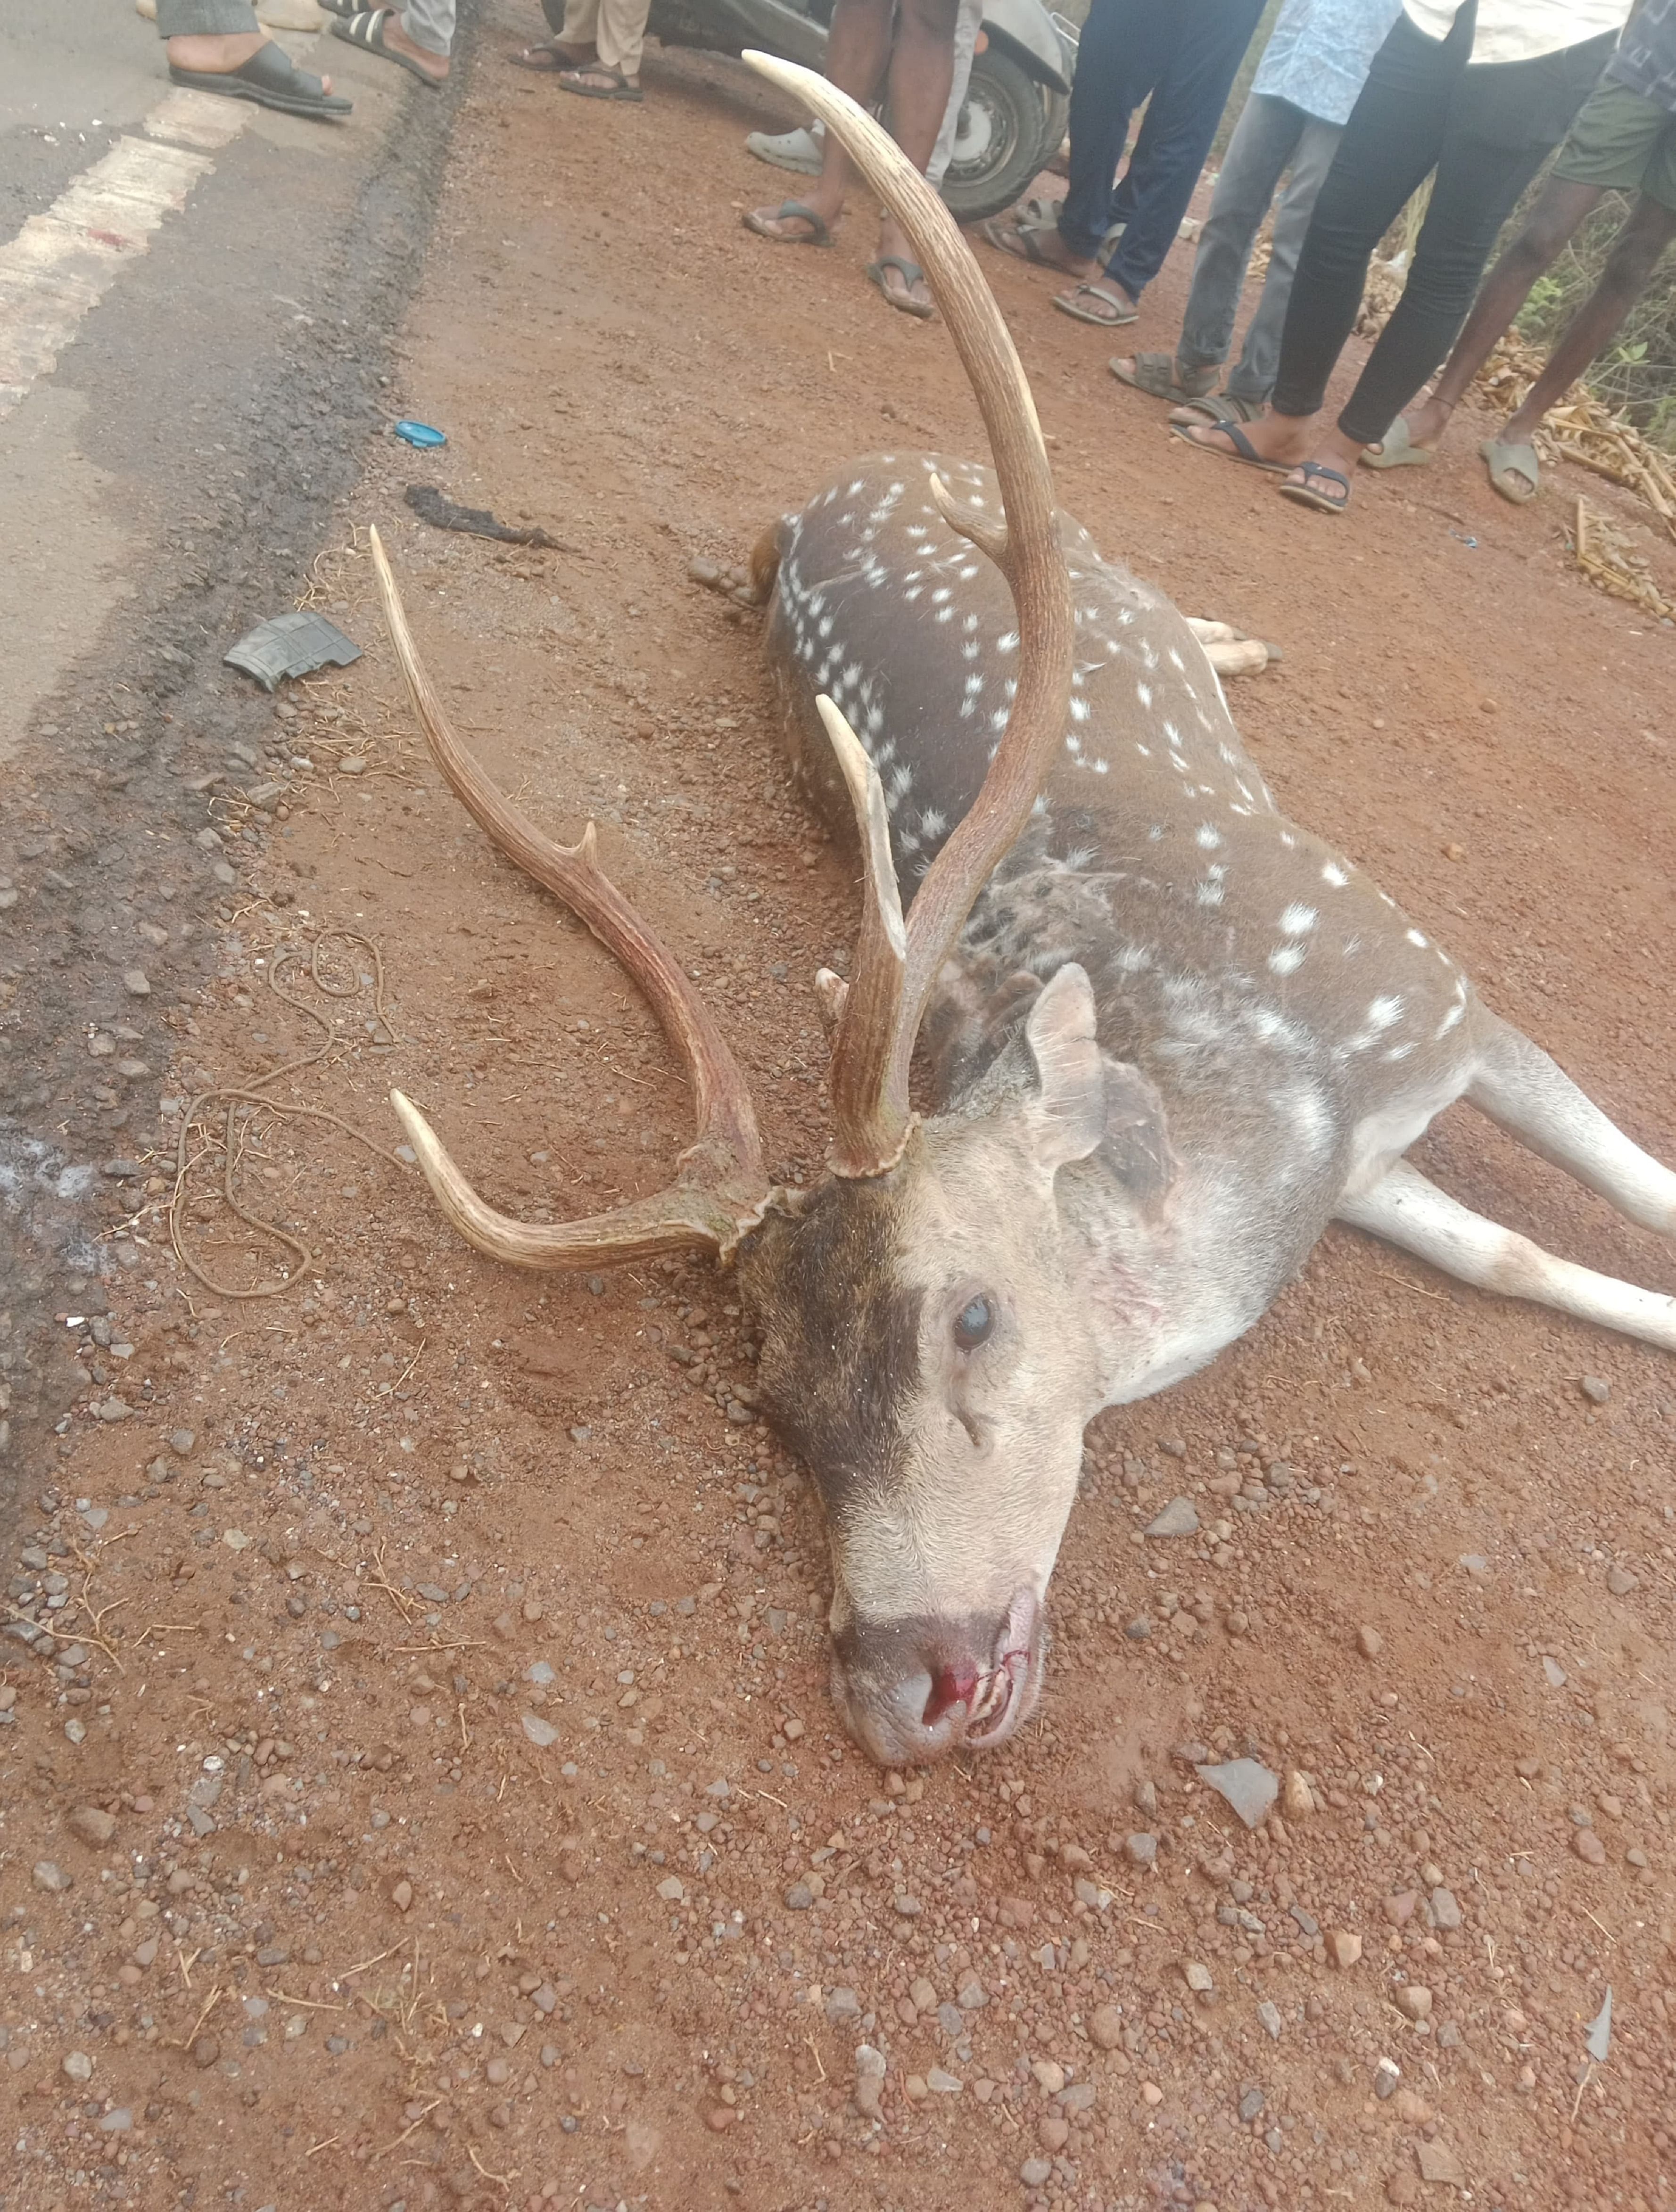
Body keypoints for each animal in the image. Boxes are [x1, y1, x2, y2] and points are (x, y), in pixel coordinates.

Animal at [371, 60, 1676, 1769]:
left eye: (971, 1318)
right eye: (774, 1401)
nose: (899, 1682)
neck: (1273, 1110)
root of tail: (819, 494)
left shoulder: (1436, 988)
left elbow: (1626, 1190)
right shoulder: (1368, 1162)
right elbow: (1516, 1261)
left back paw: (1243, 636)